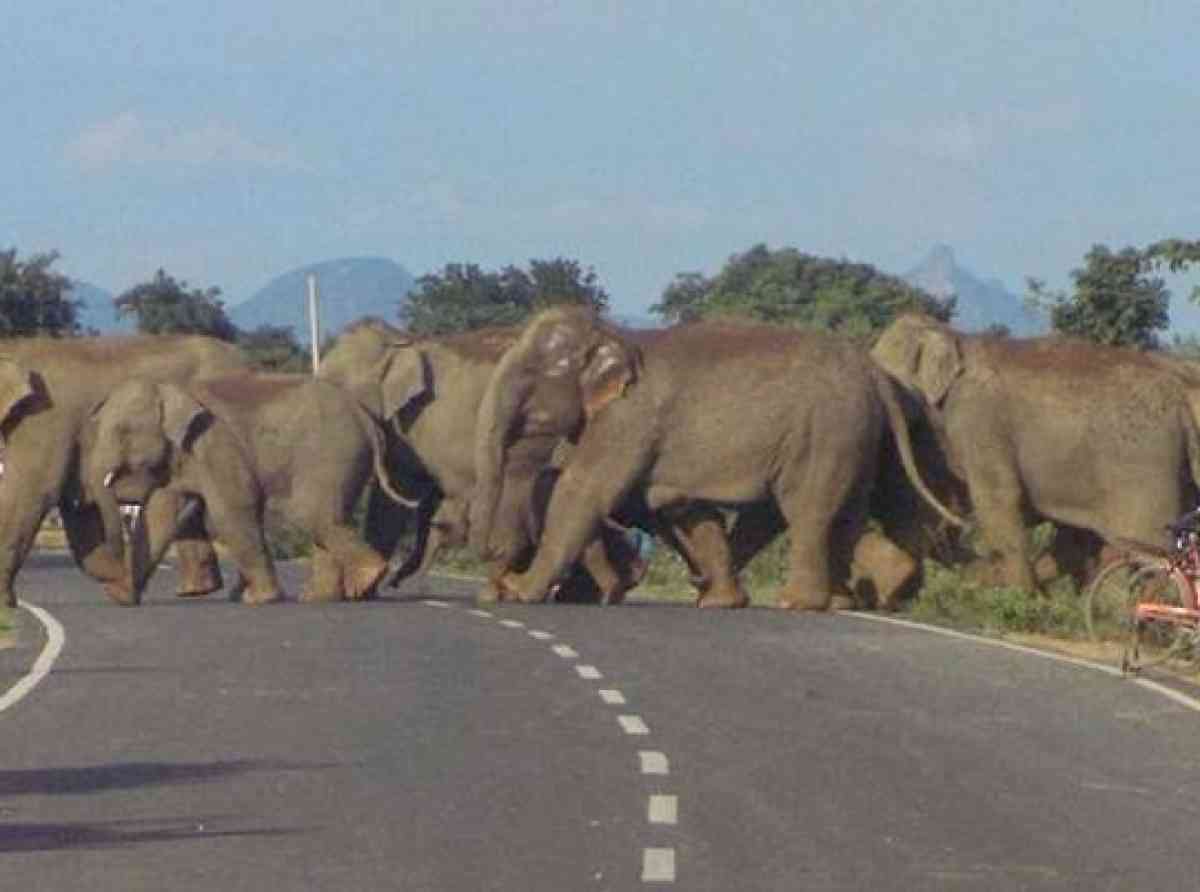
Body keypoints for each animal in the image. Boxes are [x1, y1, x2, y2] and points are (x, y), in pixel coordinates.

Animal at [82, 369, 415, 607]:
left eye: (122, 431)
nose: (109, 585)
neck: (173, 387)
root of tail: (366, 418)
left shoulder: (216, 445)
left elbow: (229, 512)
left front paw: (258, 600)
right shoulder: (178, 458)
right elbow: (159, 516)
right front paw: (120, 596)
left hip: (331, 456)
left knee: (312, 515)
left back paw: (366, 578)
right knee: (324, 520)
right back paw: (321, 597)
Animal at [468, 307, 964, 607]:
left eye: (529, 377)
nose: (496, 564)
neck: (616, 335)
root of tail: (874, 372)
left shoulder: (628, 421)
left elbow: (583, 490)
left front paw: (521, 593)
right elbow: (682, 508)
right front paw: (720, 601)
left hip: (825, 434)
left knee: (809, 512)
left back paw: (796, 603)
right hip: (852, 436)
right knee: (841, 514)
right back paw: (834, 602)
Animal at [868, 314, 1200, 593]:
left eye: (886, 373)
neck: (954, 336)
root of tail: (1182, 398)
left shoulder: (979, 420)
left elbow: (998, 499)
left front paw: (1023, 597)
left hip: (1146, 472)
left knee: (1150, 549)